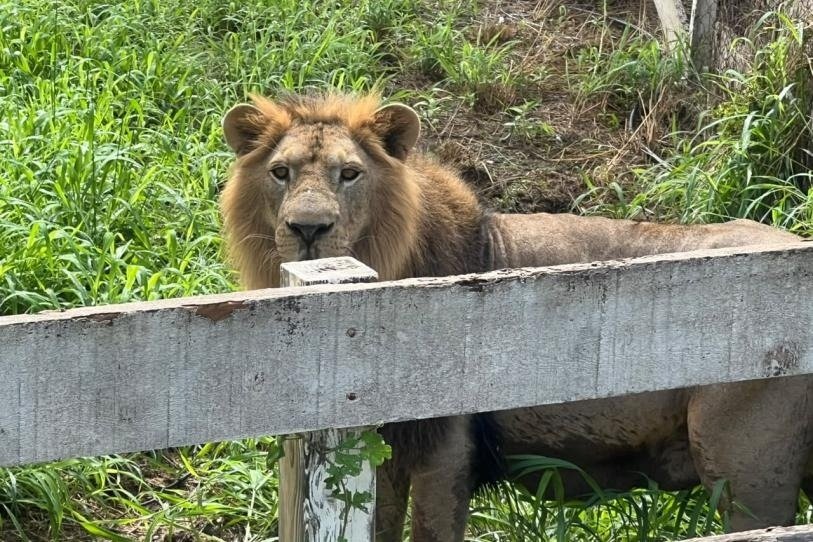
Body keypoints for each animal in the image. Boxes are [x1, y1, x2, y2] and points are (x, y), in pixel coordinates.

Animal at [220, 92, 813, 542]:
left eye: (350, 174)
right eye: (280, 172)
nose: (308, 229)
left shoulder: (446, 450)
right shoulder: (383, 448)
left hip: (747, 473)